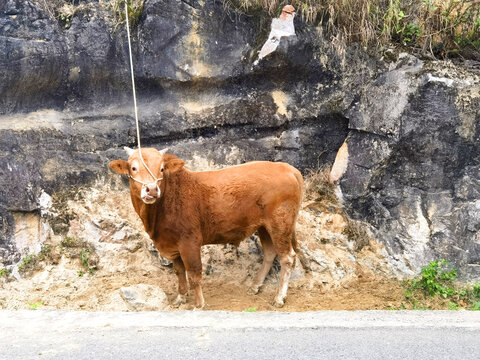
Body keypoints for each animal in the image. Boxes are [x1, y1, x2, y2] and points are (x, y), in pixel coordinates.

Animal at [109, 148, 304, 308]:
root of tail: (286, 167)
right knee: (270, 253)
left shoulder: (190, 241)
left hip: (280, 223)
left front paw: (198, 304)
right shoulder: (172, 245)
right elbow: (179, 272)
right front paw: (180, 298)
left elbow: (194, 274)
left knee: (288, 258)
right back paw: (255, 286)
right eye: (133, 168)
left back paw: (279, 297)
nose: (151, 189)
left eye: (162, 169)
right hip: (264, 226)